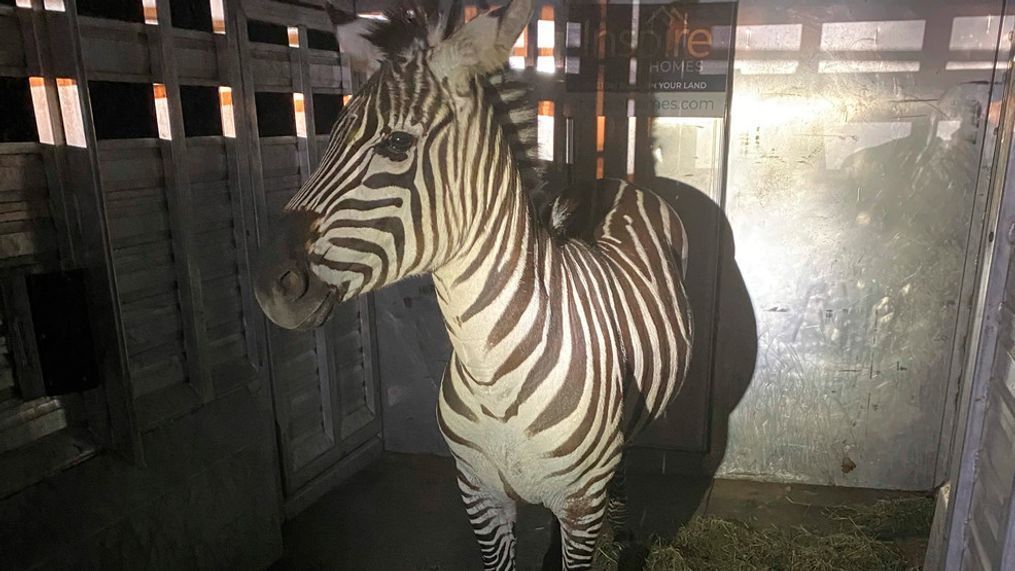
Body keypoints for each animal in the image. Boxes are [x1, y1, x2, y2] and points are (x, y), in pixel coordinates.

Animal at [255, 1, 698, 567]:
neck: (492, 373)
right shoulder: (478, 494)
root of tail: (611, 181)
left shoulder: (580, 502)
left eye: (397, 143)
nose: (271, 284)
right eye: (330, 136)